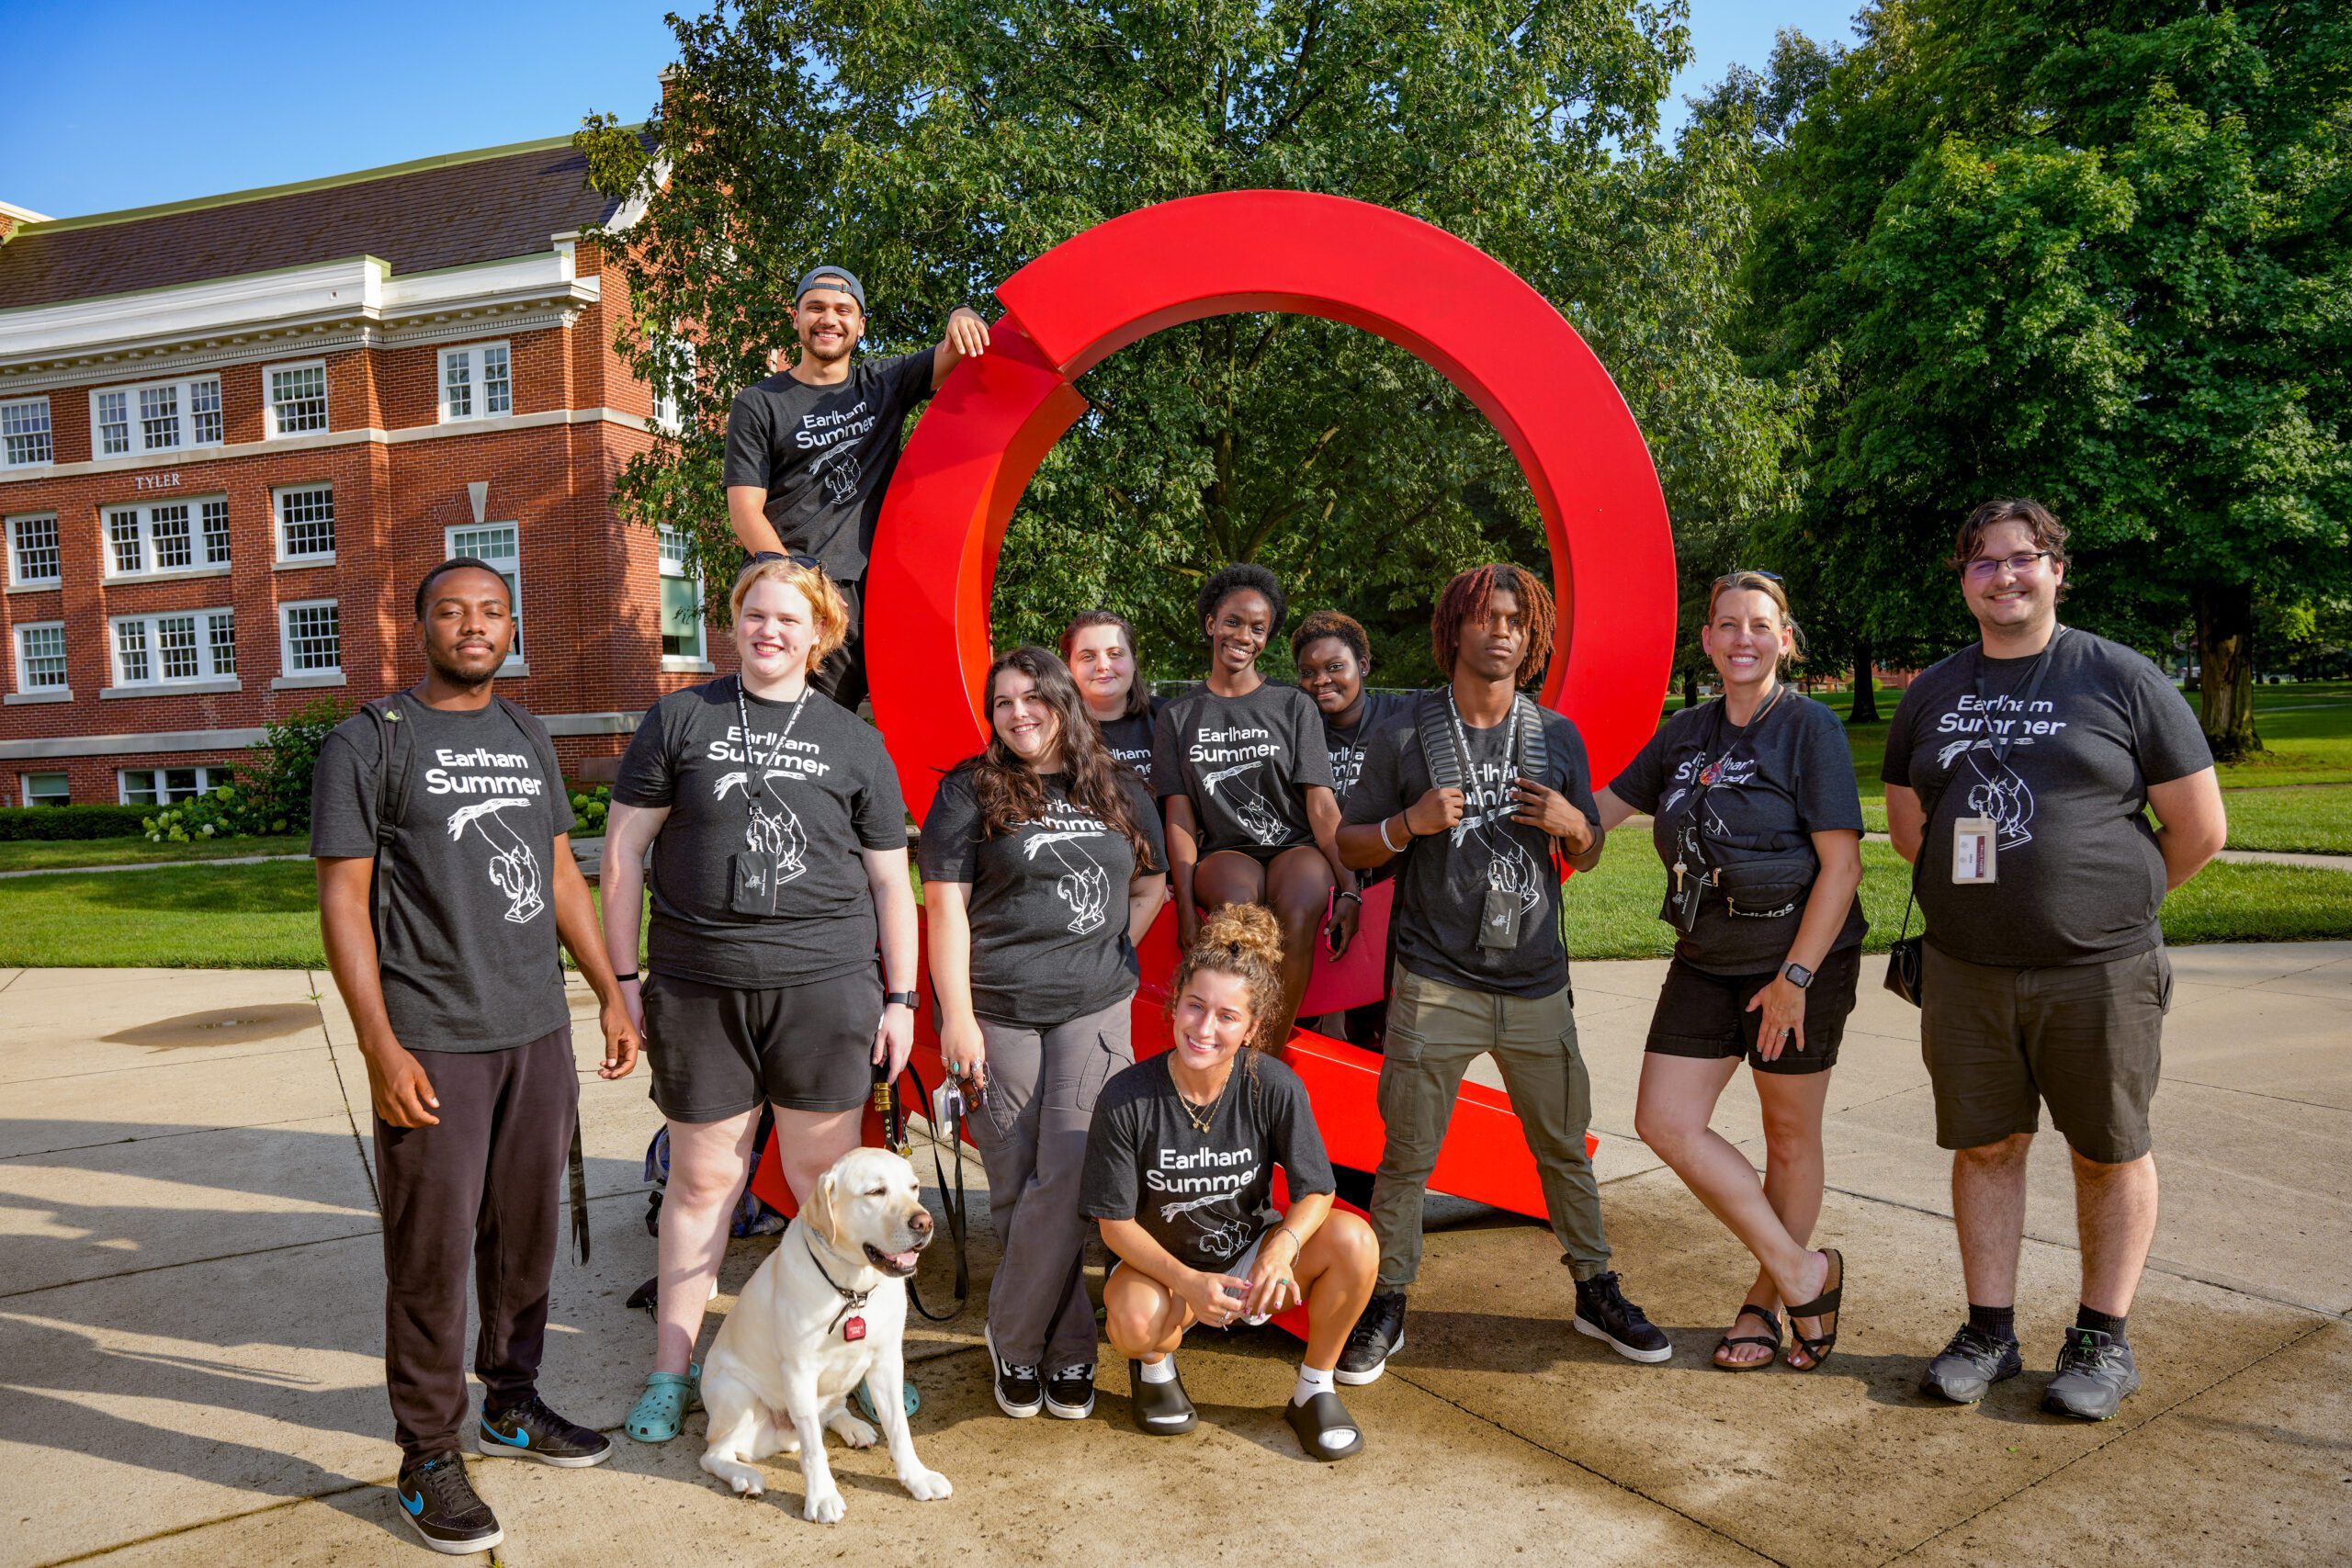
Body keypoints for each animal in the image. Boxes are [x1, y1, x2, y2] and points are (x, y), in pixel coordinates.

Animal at [695, 1146, 955, 1523]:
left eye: (914, 1187)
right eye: (875, 1192)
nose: (924, 1223)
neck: (852, 1291)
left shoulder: (887, 1361)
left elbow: (900, 1431)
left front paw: (917, 1477)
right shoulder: (799, 1372)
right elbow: (814, 1451)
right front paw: (821, 1497)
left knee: (830, 1414)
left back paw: (852, 1426)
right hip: (736, 1394)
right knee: (715, 1453)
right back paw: (745, 1476)